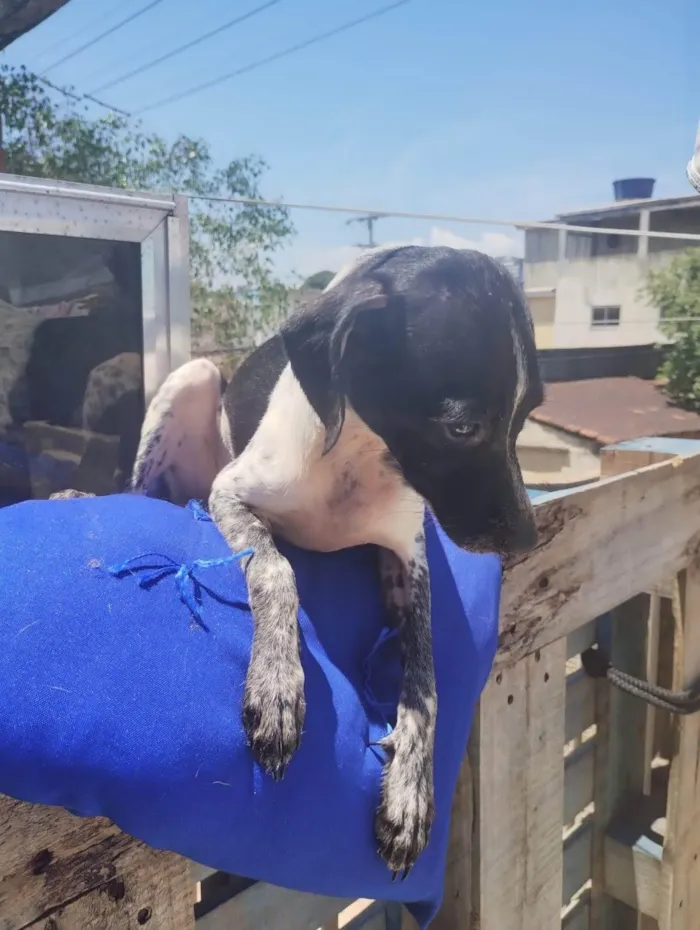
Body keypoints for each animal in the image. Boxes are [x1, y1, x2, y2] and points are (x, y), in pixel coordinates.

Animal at [65, 241, 544, 876]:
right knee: (138, 490)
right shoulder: (230, 495)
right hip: (193, 380)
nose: (528, 540)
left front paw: (411, 793)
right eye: (462, 427)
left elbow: (427, 680)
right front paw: (277, 687)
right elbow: (277, 570)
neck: (355, 458)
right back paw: (76, 496)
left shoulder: (408, 558)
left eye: (529, 414)